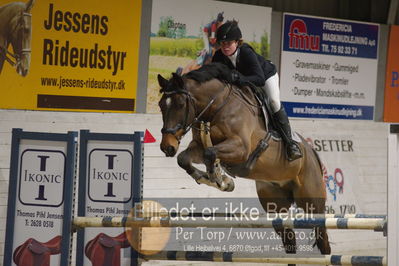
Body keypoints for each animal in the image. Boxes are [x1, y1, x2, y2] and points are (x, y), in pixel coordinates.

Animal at [158, 62, 332, 262]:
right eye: (161, 105)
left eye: (180, 104)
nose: (167, 147)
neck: (217, 106)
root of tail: (312, 152)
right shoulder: (199, 147)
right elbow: (185, 158)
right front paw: (209, 178)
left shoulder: (241, 148)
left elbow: (211, 154)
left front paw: (220, 179)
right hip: (275, 204)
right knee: (288, 236)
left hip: (311, 200)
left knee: (322, 233)